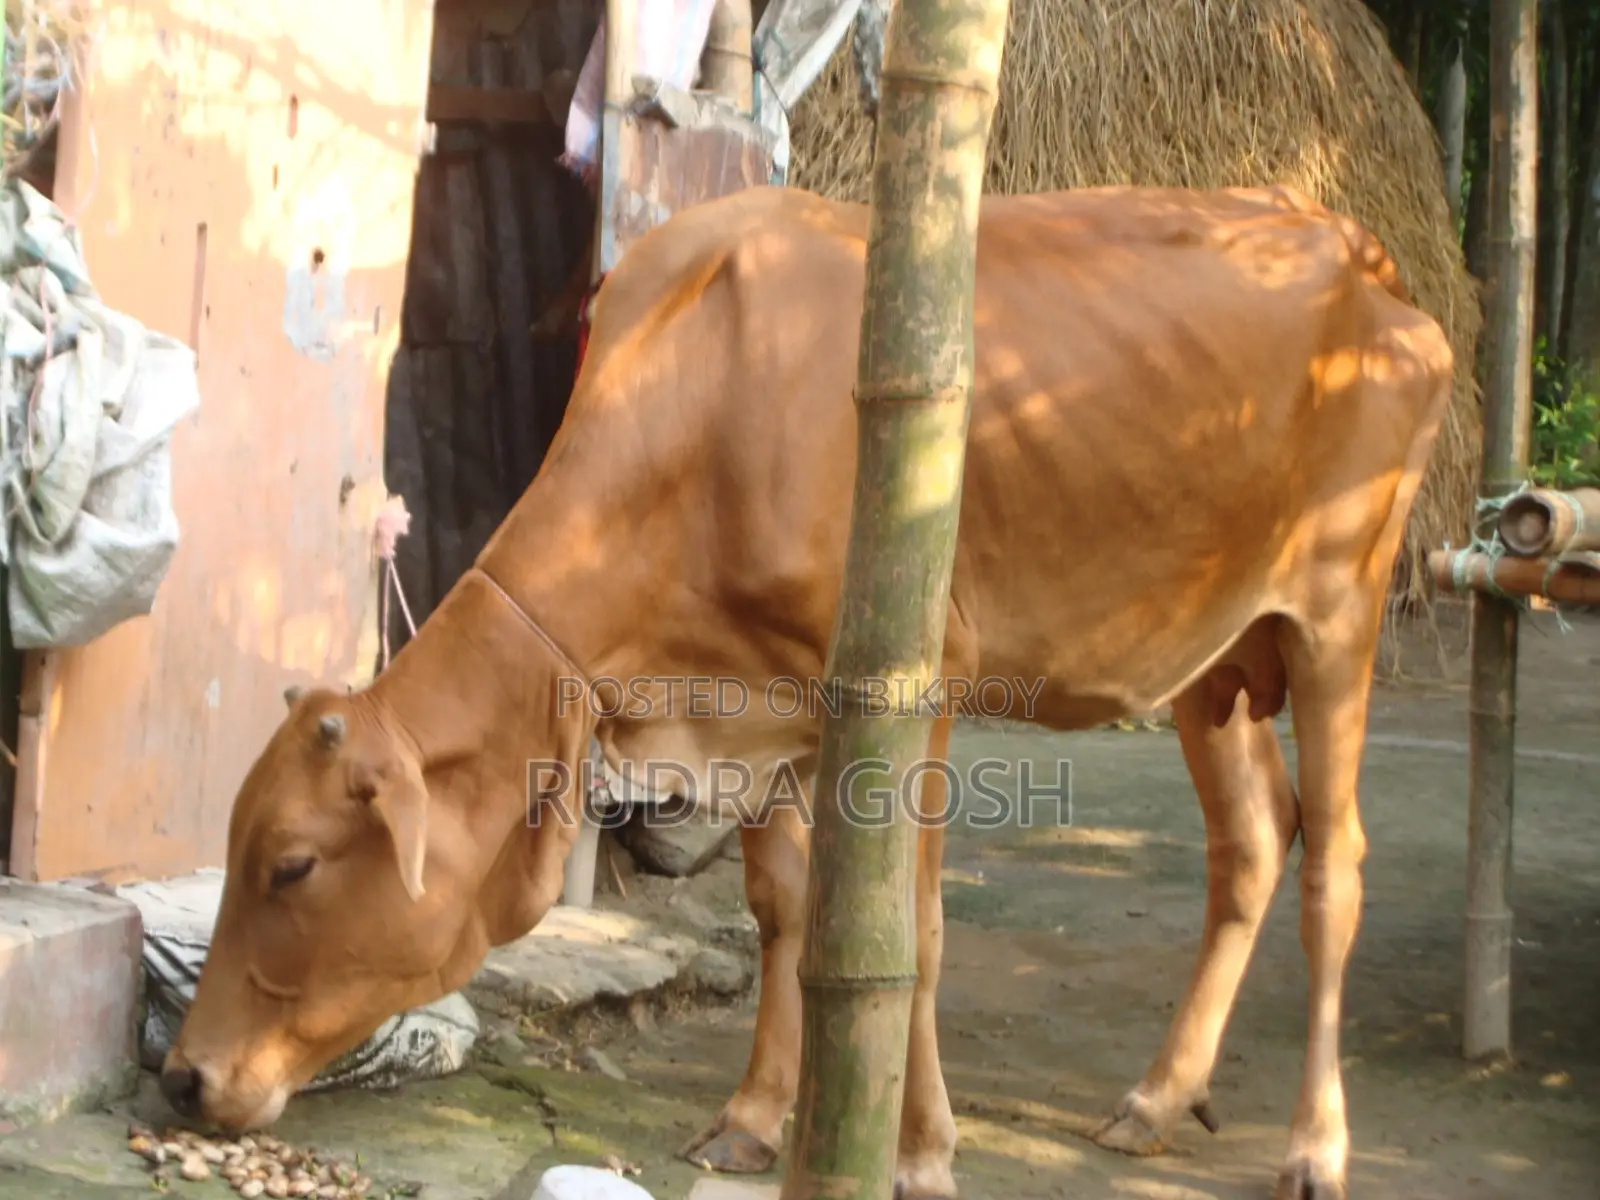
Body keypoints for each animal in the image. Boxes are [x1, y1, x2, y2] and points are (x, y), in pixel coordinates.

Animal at [158, 182, 1454, 1200]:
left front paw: (920, 1152)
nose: (182, 1074)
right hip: (1214, 658)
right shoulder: (769, 715)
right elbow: (785, 909)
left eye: (292, 865)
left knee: (1336, 864)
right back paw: (1155, 1098)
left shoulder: (913, 689)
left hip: (1338, 612)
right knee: (1254, 840)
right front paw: (750, 1117)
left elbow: (908, 931)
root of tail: (1355, 247)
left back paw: (1315, 1150)